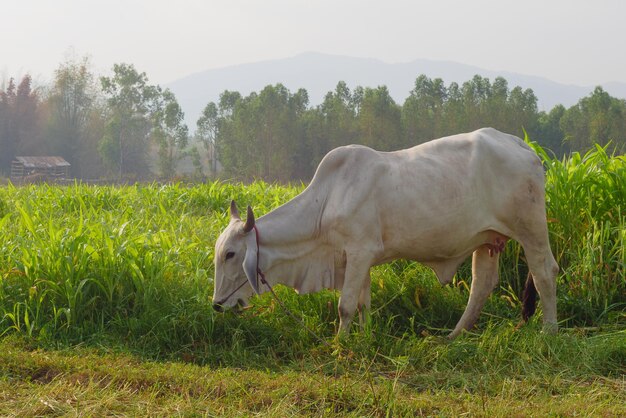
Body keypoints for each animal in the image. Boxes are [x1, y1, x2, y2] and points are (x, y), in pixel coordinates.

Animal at [211, 129, 556, 338]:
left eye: (230, 254)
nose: (217, 305)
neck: (328, 200)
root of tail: (522, 146)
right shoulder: (358, 258)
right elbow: (363, 303)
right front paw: (364, 337)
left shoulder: (359, 252)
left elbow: (345, 305)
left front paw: (339, 344)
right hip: (488, 240)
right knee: (482, 284)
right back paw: (454, 336)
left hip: (531, 229)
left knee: (544, 273)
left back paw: (547, 332)